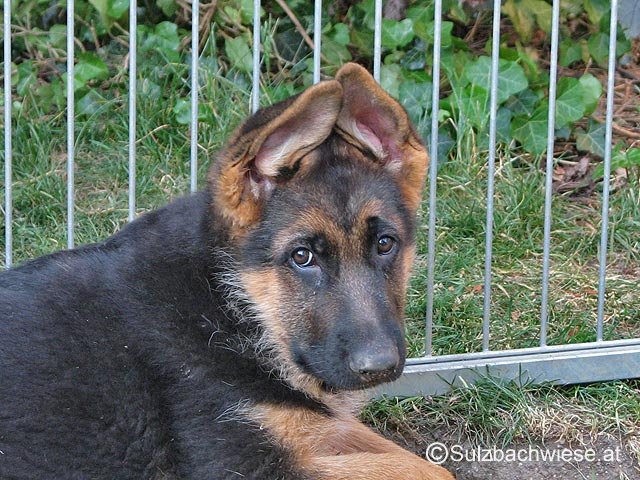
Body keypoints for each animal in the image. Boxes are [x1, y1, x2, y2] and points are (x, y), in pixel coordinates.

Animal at [0, 63, 453, 480]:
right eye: (302, 256)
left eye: (385, 244)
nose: (379, 367)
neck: (229, 304)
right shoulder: (245, 462)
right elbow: (425, 471)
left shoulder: (309, 426)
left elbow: (409, 459)